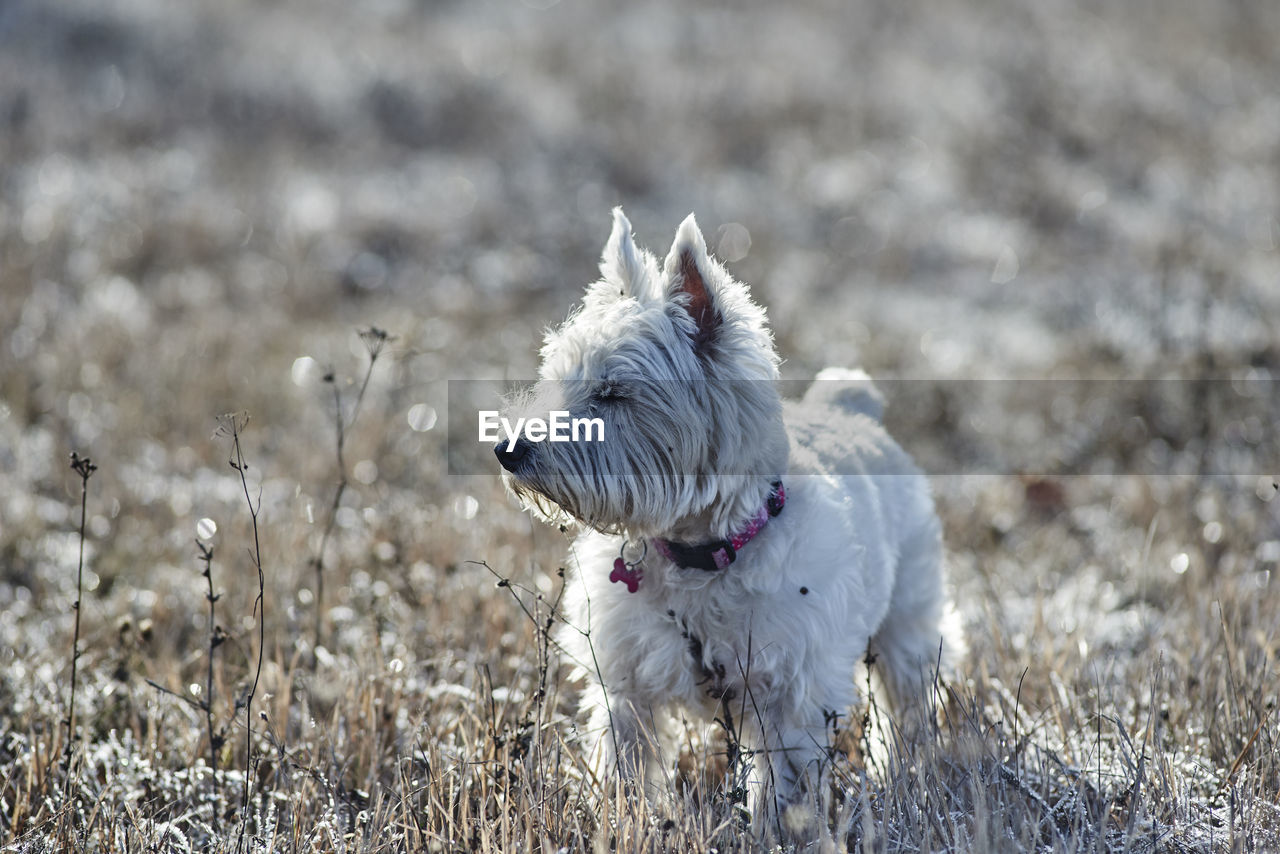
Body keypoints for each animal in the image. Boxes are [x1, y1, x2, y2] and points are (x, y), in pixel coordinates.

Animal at [496, 207, 962, 819]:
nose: (506, 449)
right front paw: (621, 821)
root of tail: (852, 405)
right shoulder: (626, 682)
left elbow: (784, 785)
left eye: (614, 392)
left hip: (908, 619)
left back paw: (911, 771)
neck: (699, 552)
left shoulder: (790, 693)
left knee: (909, 699)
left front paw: (779, 826)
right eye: (558, 377)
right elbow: (625, 763)